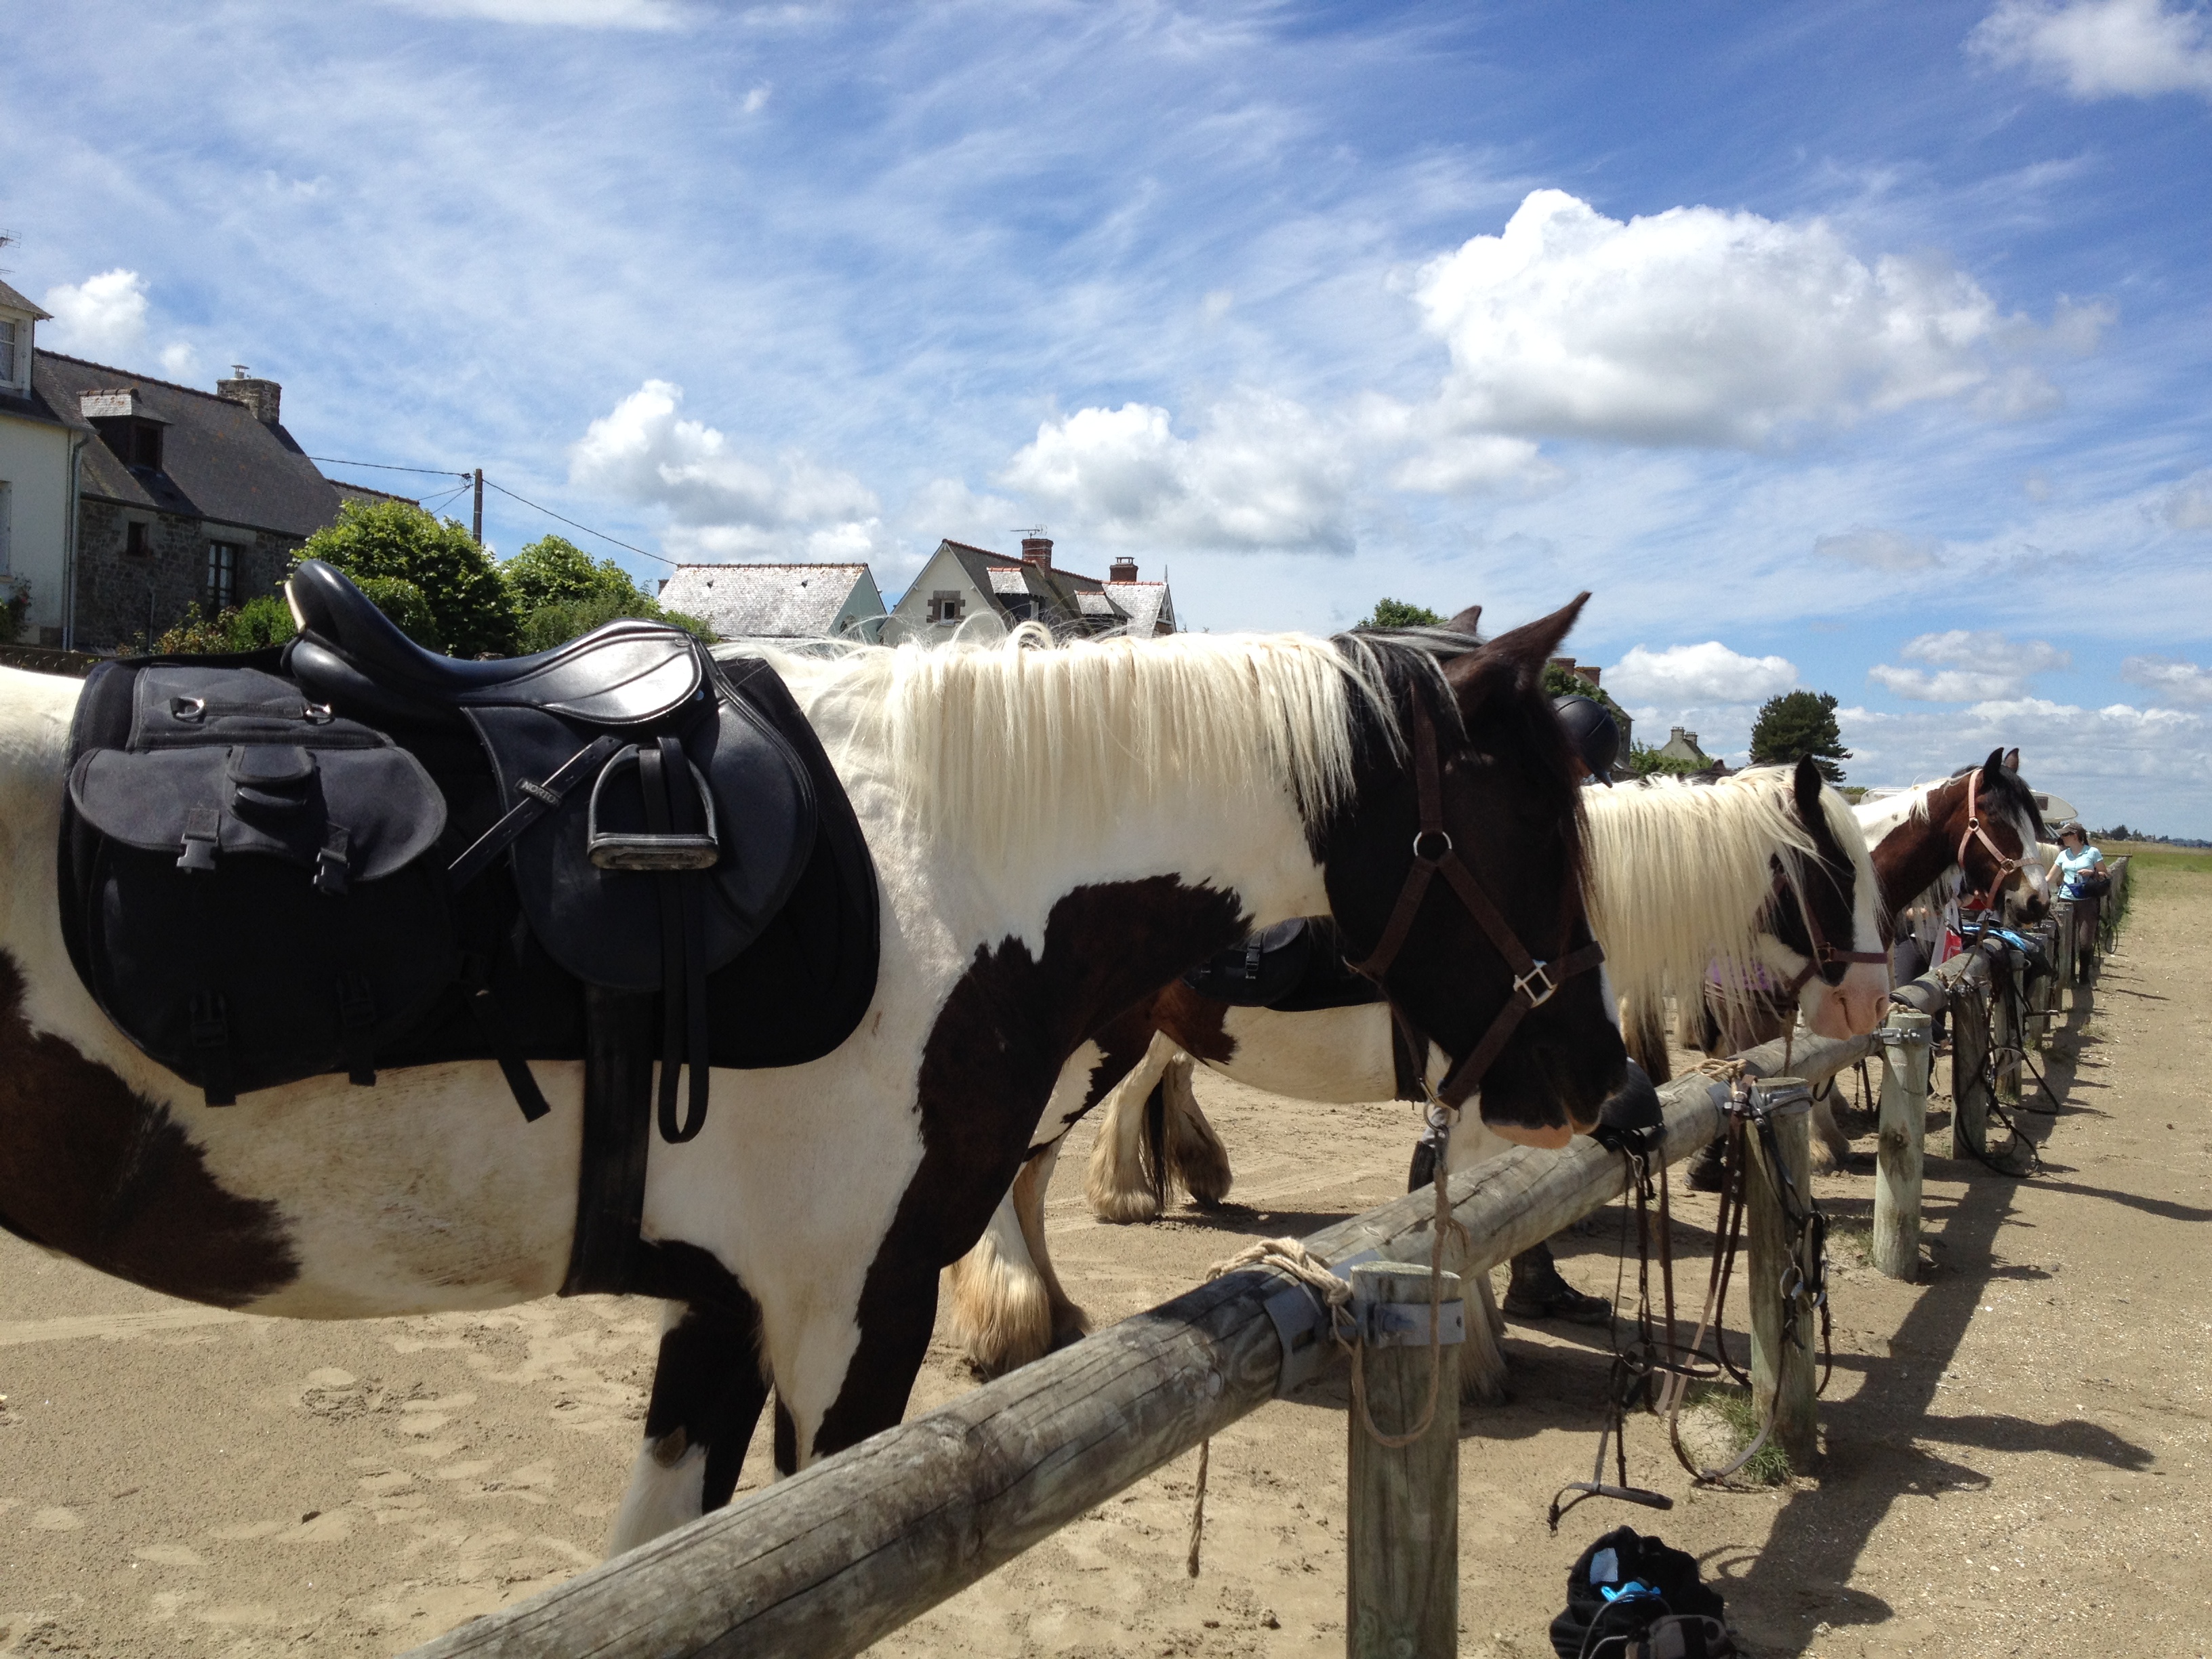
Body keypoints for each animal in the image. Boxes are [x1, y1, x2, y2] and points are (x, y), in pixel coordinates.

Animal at [946, 754, 1887, 1378]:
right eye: (1836, 873)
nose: (1872, 1002)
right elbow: (1464, 1213)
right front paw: (1473, 1348)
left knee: (1036, 1175)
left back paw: (1060, 1306)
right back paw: (1015, 1317)